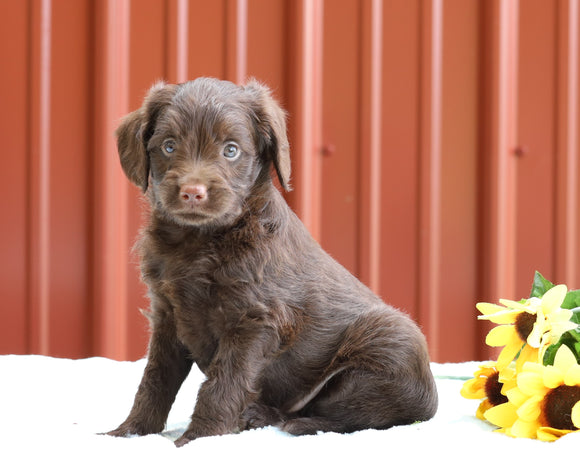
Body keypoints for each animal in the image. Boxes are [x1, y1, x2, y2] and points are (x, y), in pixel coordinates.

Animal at [106, 77, 438, 446]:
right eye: (168, 146)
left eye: (231, 150)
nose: (193, 192)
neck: (200, 240)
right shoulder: (167, 314)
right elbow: (155, 379)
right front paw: (129, 432)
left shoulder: (255, 321)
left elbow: (224, 382)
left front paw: (199, 439)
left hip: (392, 341)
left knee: (353, 413)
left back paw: (278, 419)